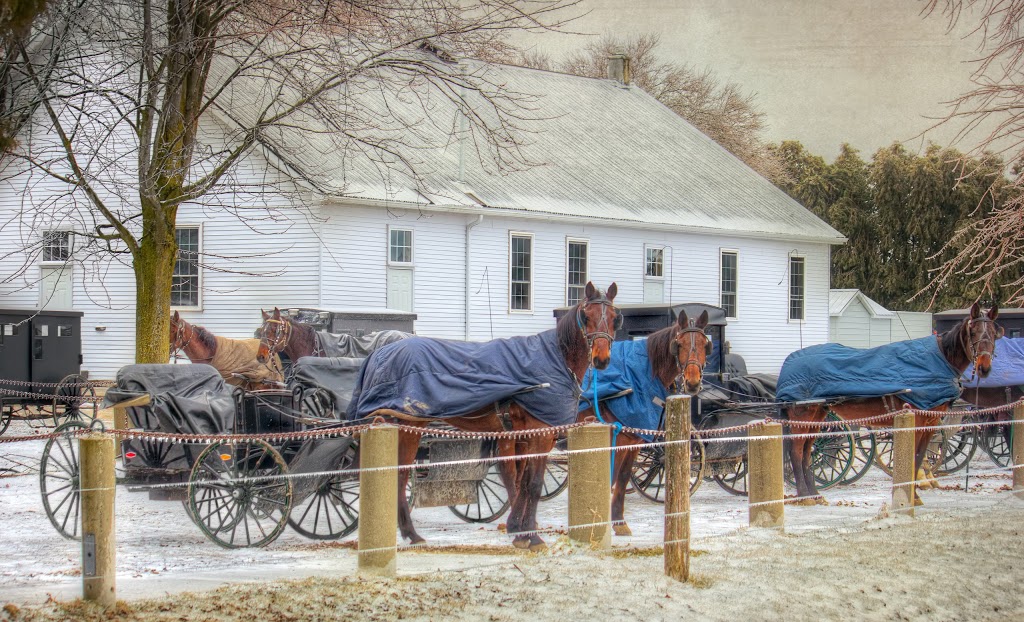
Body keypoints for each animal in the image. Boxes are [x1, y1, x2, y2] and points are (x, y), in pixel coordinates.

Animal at [577, 309, 712, 536]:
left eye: (704, 344)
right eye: (680, 344)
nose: (693, 382)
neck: (639, 374)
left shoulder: (633, 442)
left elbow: (623, 478)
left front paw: (619, 522)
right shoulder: (617, 440)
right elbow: (612, 477)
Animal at [782, 303, 999, 506]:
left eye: (994, 333)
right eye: (973, 332)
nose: (985, 368)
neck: (936, 361)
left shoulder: (930, 424)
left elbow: (920, 456)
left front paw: (915, 495)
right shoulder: (917, 420)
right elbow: (914, 456)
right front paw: (911, 496)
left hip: (817, 415)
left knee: (807, 452)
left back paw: (813, 494)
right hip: (802, 414)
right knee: (796, 451)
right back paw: (804, 496)